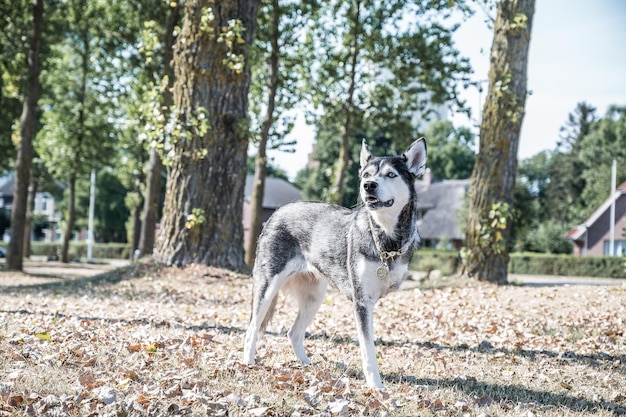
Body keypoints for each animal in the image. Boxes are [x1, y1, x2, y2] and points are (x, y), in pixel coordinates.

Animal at [241, 137, 426, 386]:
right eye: (366, 175)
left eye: (391, 174)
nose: (368, 186)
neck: (385, 240)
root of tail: (279, 211)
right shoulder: (362, 302)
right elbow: (368, 350)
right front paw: (375, 386)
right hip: (267, 288)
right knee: (252, 329)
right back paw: (248, 363)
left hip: (314, 297)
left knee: (293, 333)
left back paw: (306, 365)